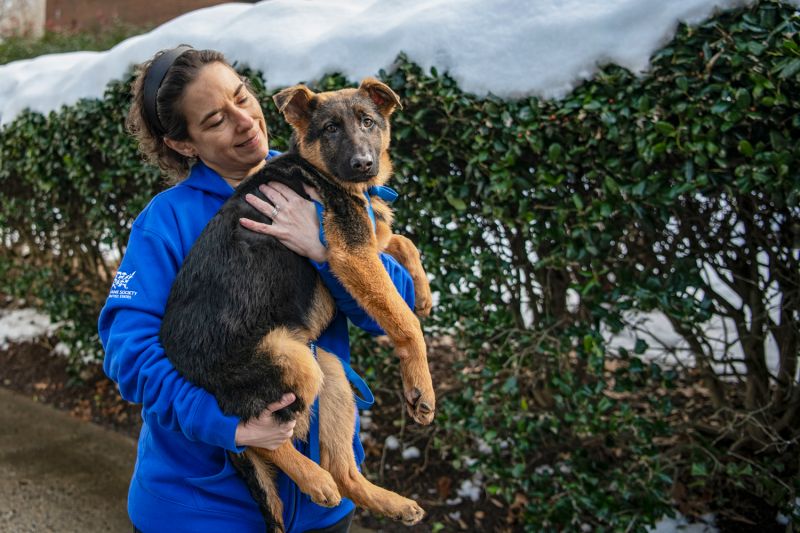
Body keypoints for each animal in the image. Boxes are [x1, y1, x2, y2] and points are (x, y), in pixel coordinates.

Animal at [160, 78, 434, 528]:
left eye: (368, 122)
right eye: (330, 129)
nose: (363, 165)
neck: (319, 171)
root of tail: (183, 364)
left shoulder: (364, 246)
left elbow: (403, 243)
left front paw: (424, 293)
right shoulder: (352, 254)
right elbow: (406, 322)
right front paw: (420, 386)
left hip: (329, 369)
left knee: (343, 471)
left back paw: (389, 502)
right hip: (292, 362)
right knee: (253, 437)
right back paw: (313, 479)